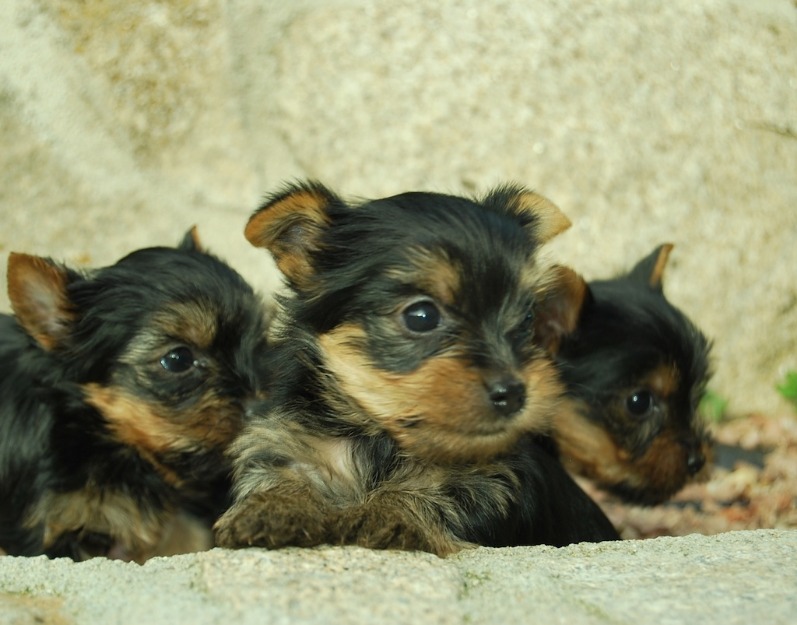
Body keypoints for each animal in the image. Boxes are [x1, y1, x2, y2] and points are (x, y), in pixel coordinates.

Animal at [215, 182, 620, 556]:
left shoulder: (487, 481)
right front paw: (274, 507)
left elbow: (437, 495)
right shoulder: (289, 442)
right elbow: (280, 473)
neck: (377, 438)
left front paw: (391, 514)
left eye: (528, 319)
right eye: (421, 316)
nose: (514, 392)